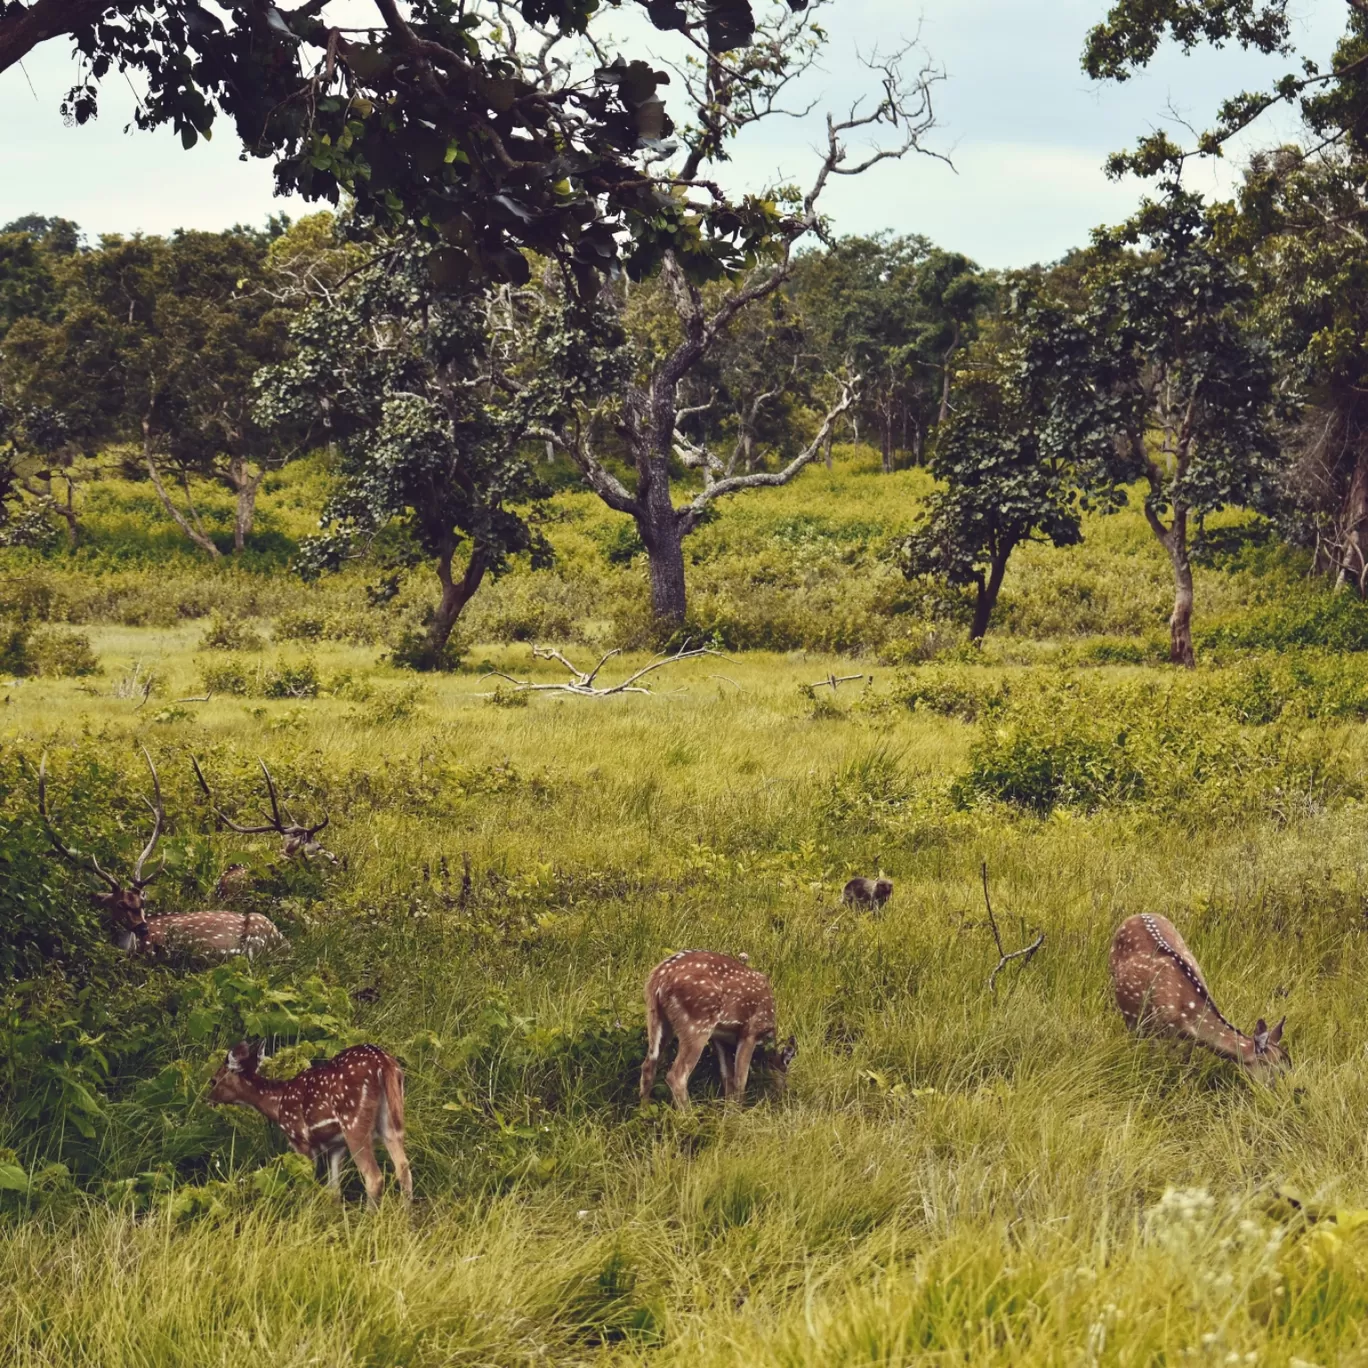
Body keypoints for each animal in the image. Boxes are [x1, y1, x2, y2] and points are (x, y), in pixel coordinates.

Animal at [206, 1039, 410, 1203]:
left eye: (213, 1080)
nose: (208, 1100)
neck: (277, 1103)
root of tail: (383, 1062)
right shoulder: (336, 1146)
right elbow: (334, 1191)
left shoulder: (300, 1139)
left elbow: (306, 1187)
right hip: (391, 1121)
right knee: (403, 1168)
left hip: (354, 1122)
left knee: (374, 1178)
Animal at [642, 952, 798, 1110]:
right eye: (784, 1074)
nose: (784, 1098)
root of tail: (659, 976)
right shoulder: (751, 1032)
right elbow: (740, 1079)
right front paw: (738, 1111)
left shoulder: (721, 1038)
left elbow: (727, 1077)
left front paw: (729, 1110)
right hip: (697, 1023)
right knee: (676, 1076)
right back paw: (688, 1112)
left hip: (659, 1018)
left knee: (648, 1065)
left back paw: (644, 1109)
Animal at [1105, 913, 1285, 1083]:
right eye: (1278, 1069)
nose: (1288, 1090)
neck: (1188, 1019)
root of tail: (1136, 915)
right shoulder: (1158, 1029)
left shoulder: (1187, 1042)